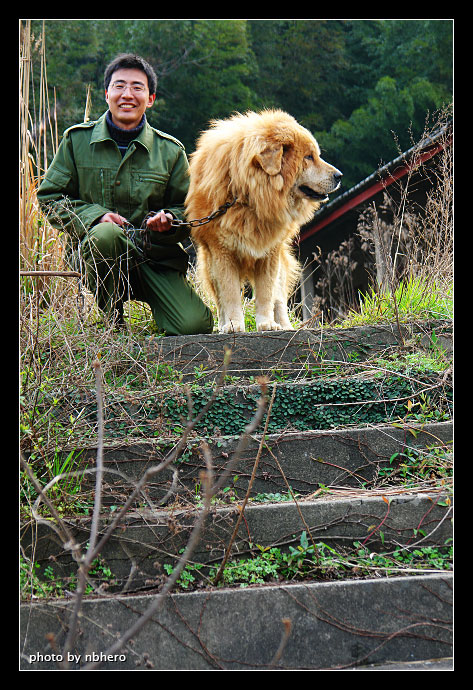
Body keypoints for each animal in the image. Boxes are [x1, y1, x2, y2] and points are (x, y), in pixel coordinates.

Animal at [185, 109, 342, 332]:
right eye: (308, 157)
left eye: (316, 155)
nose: (339, 176)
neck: (247, 195)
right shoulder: (222, 253)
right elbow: (230, 295)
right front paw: (233, 325)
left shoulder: (269, 253)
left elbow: (266, 295)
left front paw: (267, 323)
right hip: (210, 265)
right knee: (220, 300)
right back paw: (223, 324)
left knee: (279, 300)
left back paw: (284, 325)